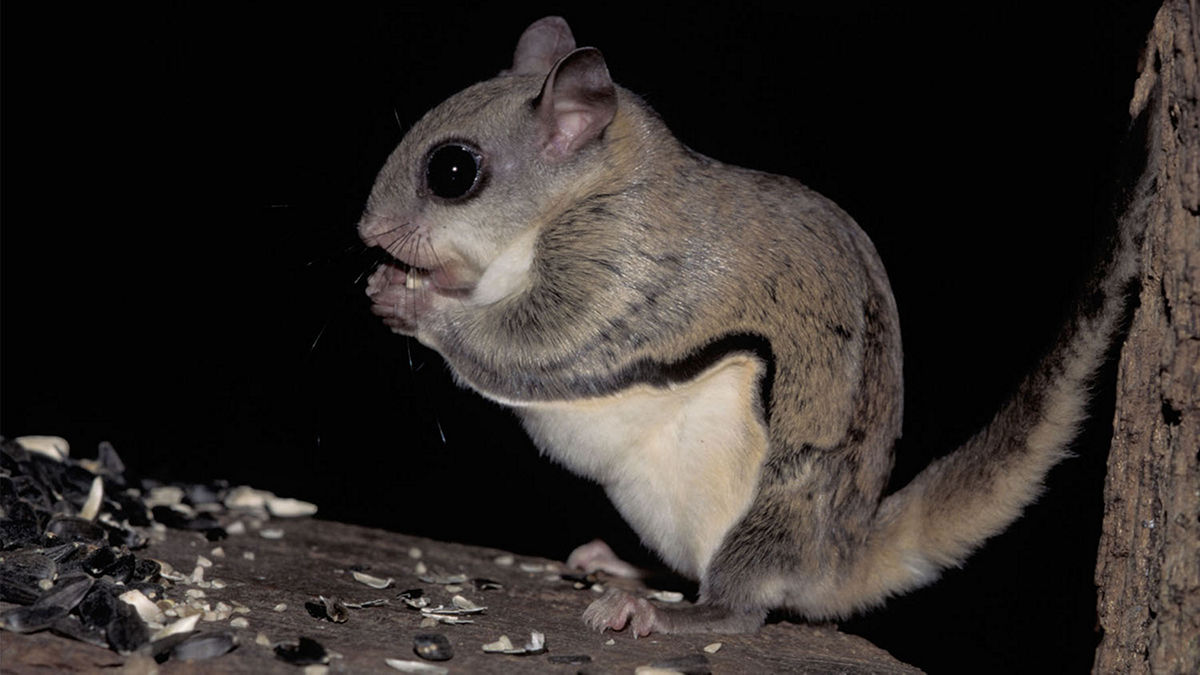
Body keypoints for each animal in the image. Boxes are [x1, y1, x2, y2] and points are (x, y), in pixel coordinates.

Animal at [357, 17, 1152, 634]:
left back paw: (663, 612)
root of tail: (839, 554)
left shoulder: (624, 267)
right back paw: (622, 568)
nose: (367, 230)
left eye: (452, 171)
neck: (593, 186)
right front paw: (396, 283)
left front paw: (416, 303)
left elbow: (532, 339)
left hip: (770, 508)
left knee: (740, 610)